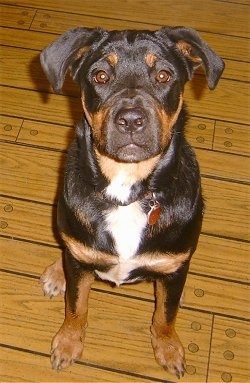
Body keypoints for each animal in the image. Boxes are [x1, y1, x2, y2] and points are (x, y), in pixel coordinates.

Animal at [39, 25, 225, 380]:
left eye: (164, 75)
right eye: (100, 75)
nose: (130, 120)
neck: (127, 191)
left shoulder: (174, 268)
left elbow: (165, 315)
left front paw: (168, 349)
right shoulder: (80, 260)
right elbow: (76, 305)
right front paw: (68, 343)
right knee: (67, 250)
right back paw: (57, 272)